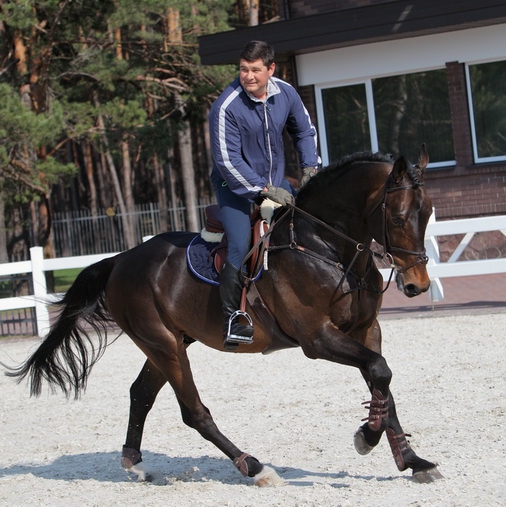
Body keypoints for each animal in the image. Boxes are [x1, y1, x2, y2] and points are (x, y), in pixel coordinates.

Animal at [4, 145, 442, 486]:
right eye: (398, 218)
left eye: (428, 213)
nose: (416, 285)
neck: (326, 247)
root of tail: (120, 260)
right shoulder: (318, 338)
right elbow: (380, 372)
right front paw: (367, 437)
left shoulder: (367, 331)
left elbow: (382, 381)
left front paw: (411, 460)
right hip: (163, 345)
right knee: (193, 412)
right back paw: (253, 466)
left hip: (168, 343)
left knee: (141, 394)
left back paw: (134, 464)